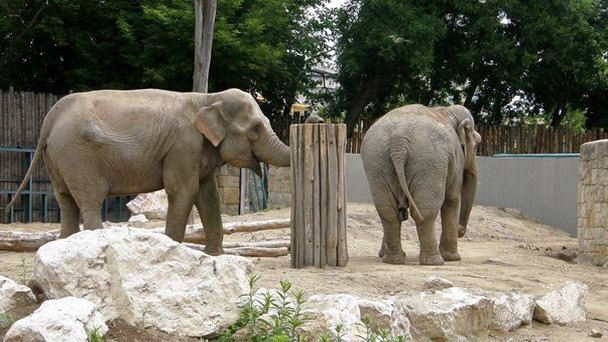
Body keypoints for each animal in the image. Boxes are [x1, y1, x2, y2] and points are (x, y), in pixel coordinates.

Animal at [4, 87, 290, 254]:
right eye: (255, 129)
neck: (209, 98)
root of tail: (49, 119)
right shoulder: (183, 146)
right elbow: (183, 190)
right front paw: (172, 251)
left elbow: (208, 195)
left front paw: (213, 256)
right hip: (78, 157)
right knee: (89, 201)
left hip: (59, 158)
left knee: (66, 202)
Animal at [358, 103, 482, 264]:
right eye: (477, 143)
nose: (460, 229)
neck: (446, 111)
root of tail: (399, 141)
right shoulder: (456, 158)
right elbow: (452, 199)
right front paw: (454, 258)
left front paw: (382, 254)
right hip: (429, 162)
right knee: (426, 211)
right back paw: (435, 261)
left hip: (376, 161)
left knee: (387, 211)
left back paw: (394, 259)